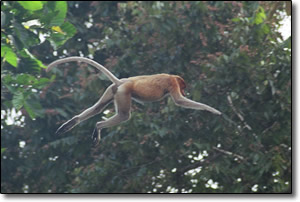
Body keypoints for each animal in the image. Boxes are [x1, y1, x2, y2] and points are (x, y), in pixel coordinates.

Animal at [46, 56, 220, 144]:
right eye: (183, 87)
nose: (185, 90)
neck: (174, 77)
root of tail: (121, 82)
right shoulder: (172, 83)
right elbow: (179, 101)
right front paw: (212, 110)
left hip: (111, 90)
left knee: (98, 108)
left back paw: (71, 124)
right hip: (123, 93)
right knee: (124, 116)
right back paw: (98, 126)